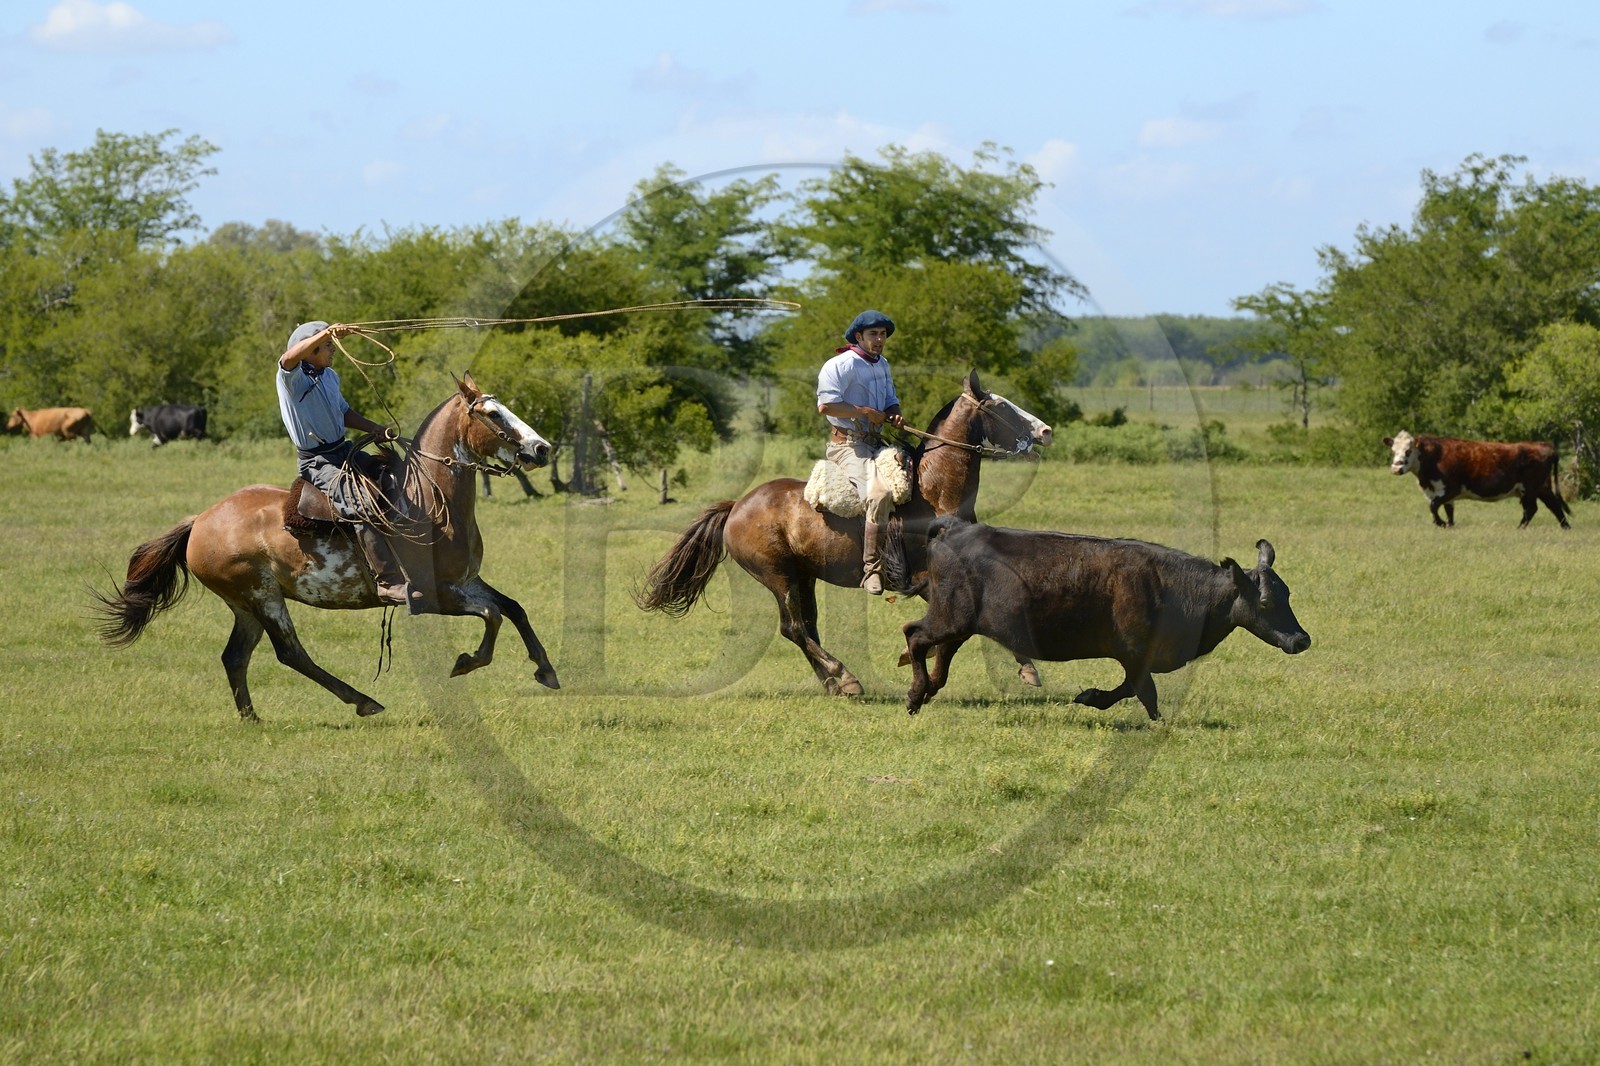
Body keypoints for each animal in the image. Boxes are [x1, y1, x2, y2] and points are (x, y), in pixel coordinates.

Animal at [899, 518, 1311, 720]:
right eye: (1265, 602)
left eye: (1287, 594)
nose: (1302, 639)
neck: (1174, 589)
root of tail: (953, 529)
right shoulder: (1134, 652)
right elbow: (1144, 692)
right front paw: (1157, 722)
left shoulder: (1136, 658)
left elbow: (1130, 688)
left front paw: (1092, 697)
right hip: (949, 616)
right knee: (915, 635)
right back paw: (916, 695)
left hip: (960, 624)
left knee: (941, 653)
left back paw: (928, 690)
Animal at [1383, 430, 1571, 529]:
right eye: (1393, 451)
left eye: (1408, 451)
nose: (1396, 468)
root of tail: (1543, 445)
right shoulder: (1441, 493)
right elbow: (1448, 511)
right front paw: (1449, 525)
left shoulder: (1451, 489)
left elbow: (1433, 506)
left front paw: (1440, 523)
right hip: (1542, 487)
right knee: (1554, 506)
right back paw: (1566, 527)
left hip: (1530, 488)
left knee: (1531, 509)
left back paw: (1520, 528)